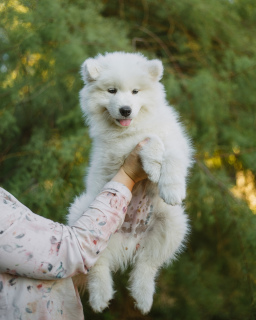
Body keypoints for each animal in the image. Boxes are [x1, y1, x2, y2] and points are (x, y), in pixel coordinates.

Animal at [68, 51, 192, 314]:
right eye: (112, 90)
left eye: (136, 91)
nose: (125, 110)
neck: (136, 124)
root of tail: (130, 241)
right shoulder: (118, 150)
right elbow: (150, 140)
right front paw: (153, 167)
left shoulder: (176, 141)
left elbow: (170, 154)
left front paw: (172, 189)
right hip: (84, 211)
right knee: (97, 264)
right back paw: (100, 296)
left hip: (174, 224)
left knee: (148, 265)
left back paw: (143, 297)